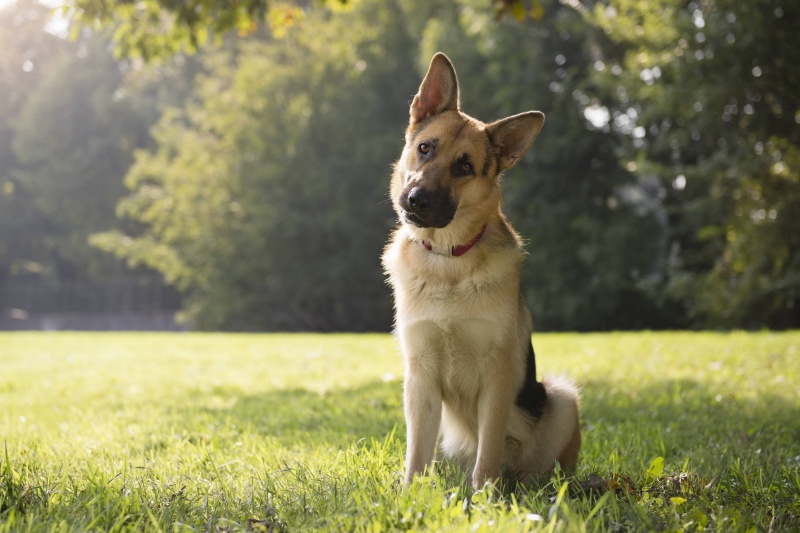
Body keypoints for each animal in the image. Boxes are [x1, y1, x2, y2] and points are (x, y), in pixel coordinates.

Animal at [382, 52, 580, 488]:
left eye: (465, 167)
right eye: (425, 148)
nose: (416, 200)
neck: (448, 260)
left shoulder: (498, 375)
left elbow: (488, 448)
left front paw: (486, 495)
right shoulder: (420, 377)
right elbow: (416, 453)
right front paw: (410, 493)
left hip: (561, 397)